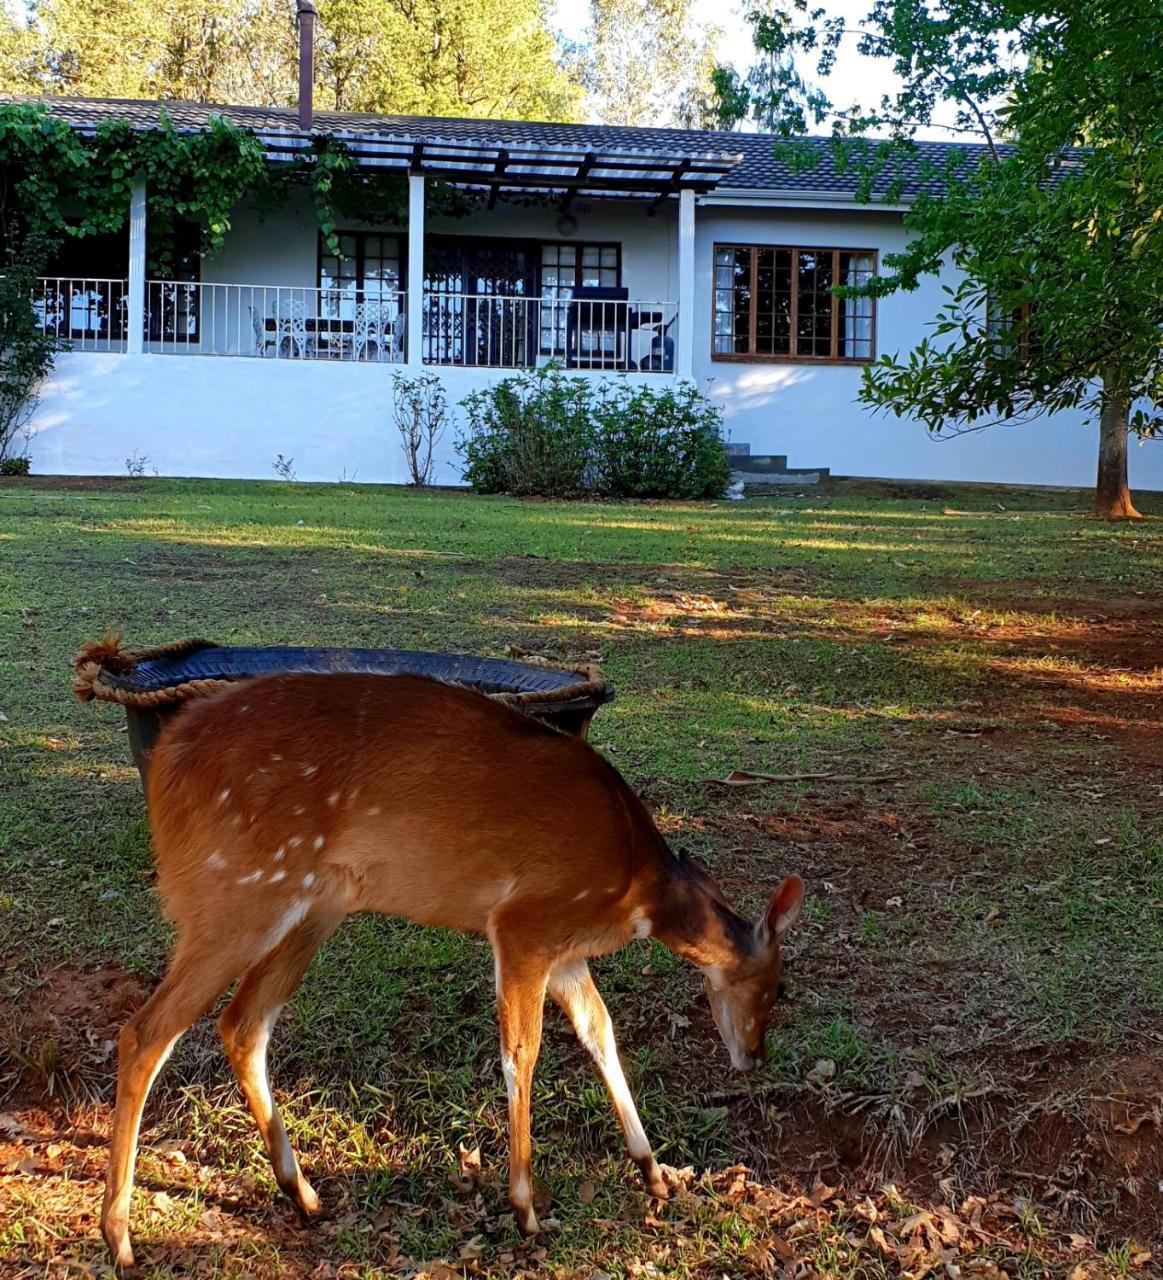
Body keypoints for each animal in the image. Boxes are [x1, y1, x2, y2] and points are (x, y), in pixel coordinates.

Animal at [95, 675, 803, 1264]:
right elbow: (522, 1052)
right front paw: (525, 1208)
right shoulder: (523, 923)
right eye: (780, 987)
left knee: (242, 1023)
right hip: (237, 898)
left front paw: (654, 1172)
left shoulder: (564, 950)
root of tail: (166, 763)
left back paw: (304, 1194)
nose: (754, 1055)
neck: (637, 888)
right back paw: (120, 1237)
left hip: (314, 906)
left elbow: (600, 1033)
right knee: (146, 1030)